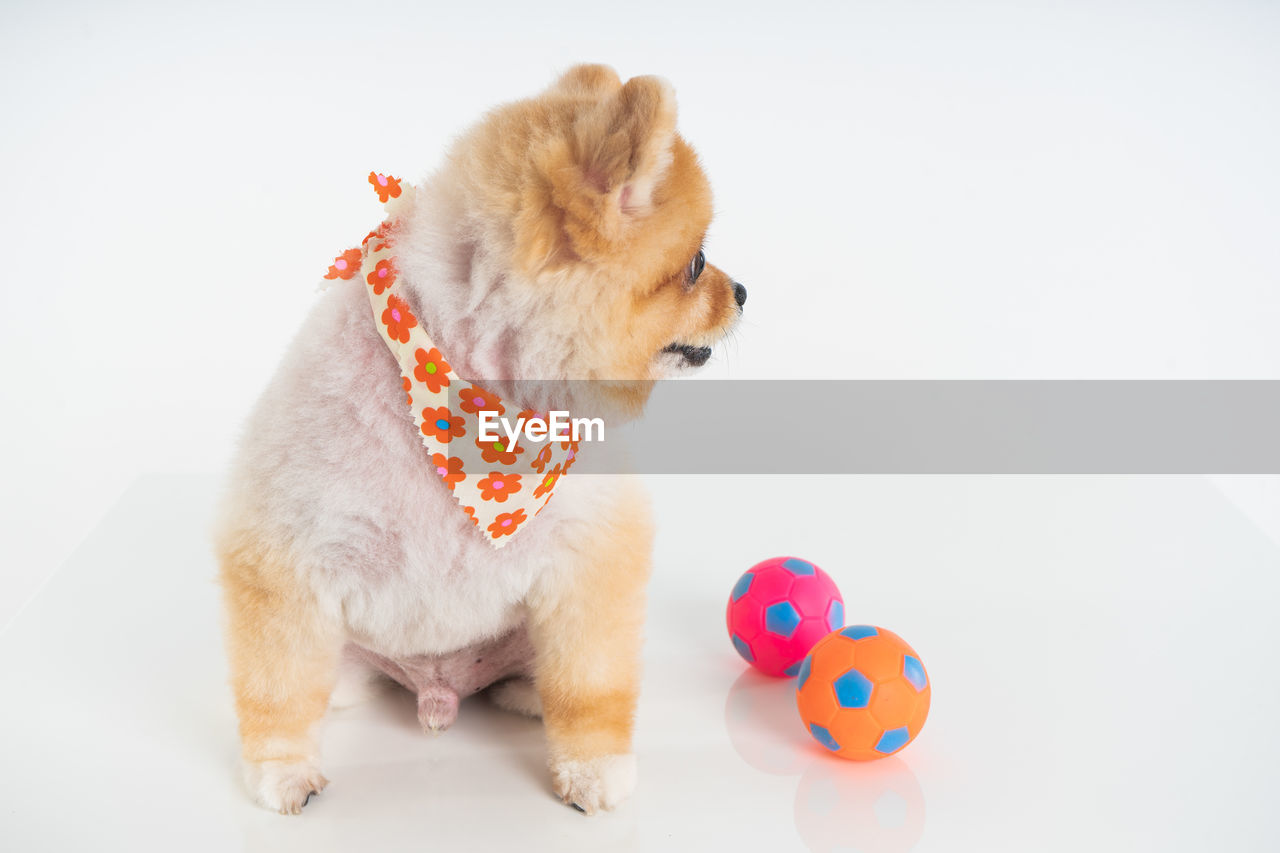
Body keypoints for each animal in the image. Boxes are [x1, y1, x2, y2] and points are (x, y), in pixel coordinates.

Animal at [215, 63, 747, 814]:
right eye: (697, 265)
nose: (746, 292)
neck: (474, 408)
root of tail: (438, 689)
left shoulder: (589, 559)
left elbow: (591, 683)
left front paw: (593, 766)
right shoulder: (286, 550)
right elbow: (278, 683)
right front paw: (282, 770)